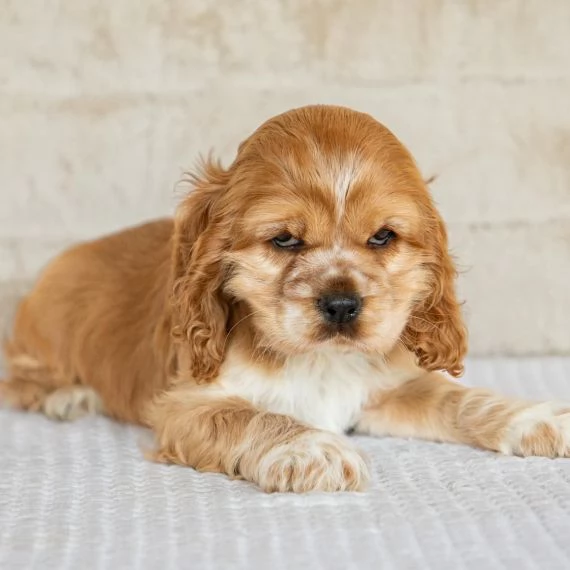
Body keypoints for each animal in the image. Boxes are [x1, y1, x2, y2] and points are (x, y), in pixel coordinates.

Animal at [1, 105, 568, 488]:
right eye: (285, 240)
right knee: (18, 376)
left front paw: (538, 418)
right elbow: (253, 416)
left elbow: (460, 399)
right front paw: (315, 449)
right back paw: (68, 396)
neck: (318, 362)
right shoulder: (187, 406)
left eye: (383, 237)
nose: (342, 304)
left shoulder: (386, 389)